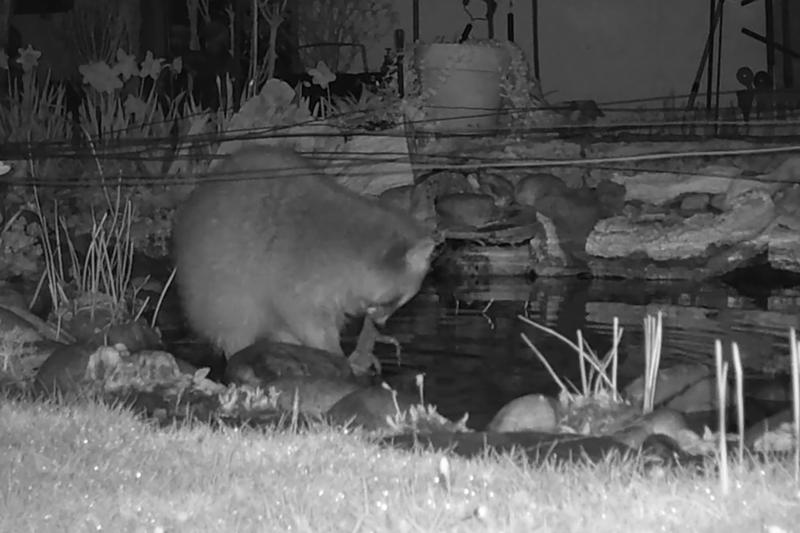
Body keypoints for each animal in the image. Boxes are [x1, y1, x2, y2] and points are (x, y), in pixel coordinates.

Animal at [173, 147, 438, 358]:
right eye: (393, 300)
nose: (380, 324)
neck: (359, 243)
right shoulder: (299, 274)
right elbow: (306, 317)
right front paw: (334, 352)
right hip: (221, 285)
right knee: (237, 321)